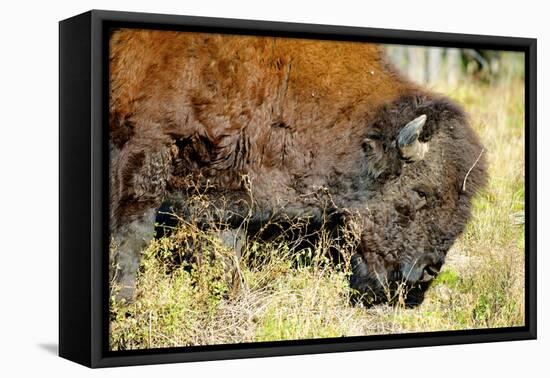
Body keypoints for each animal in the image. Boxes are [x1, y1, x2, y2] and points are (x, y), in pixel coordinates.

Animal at [109, 29, 488, 308]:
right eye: (421, 192)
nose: (427, 271)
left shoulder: (227, 183)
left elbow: (229, 245)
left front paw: (232, 295)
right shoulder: (144, 148)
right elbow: (132, 232)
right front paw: (125, 300)